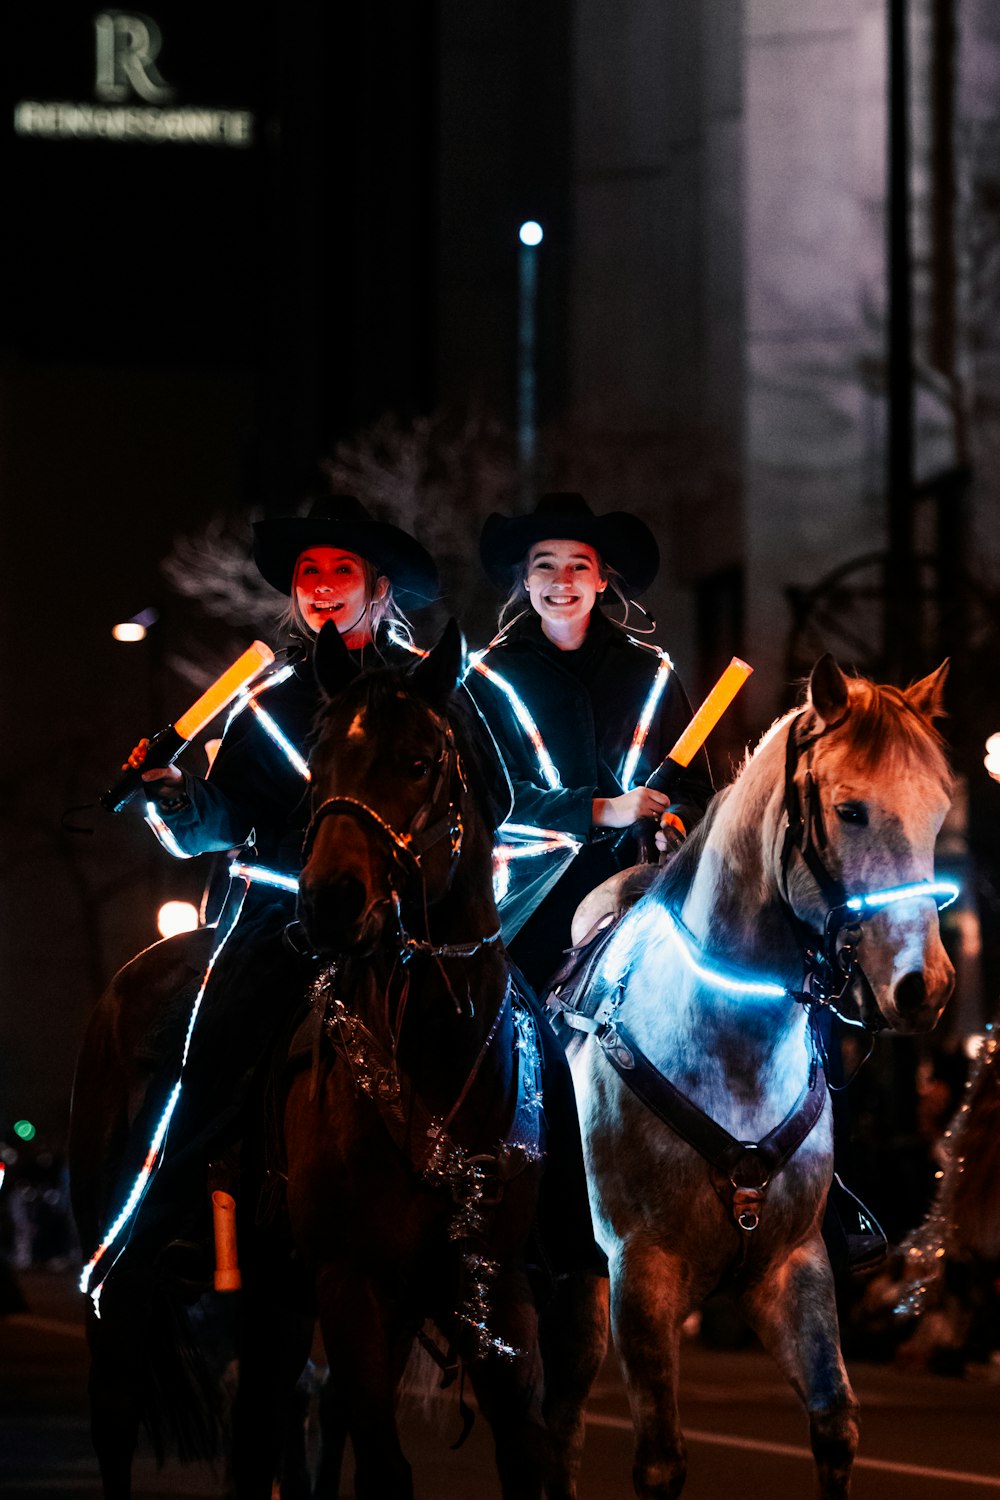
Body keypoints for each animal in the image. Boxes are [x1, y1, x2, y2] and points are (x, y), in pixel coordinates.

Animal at [560, 657, 959, 1500]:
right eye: (850, 810)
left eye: (940, 810)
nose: (925, 988)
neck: (730, 1040)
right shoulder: (641, 1271)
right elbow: (660, 1458)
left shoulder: (792, 1267)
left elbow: (835, 1424)